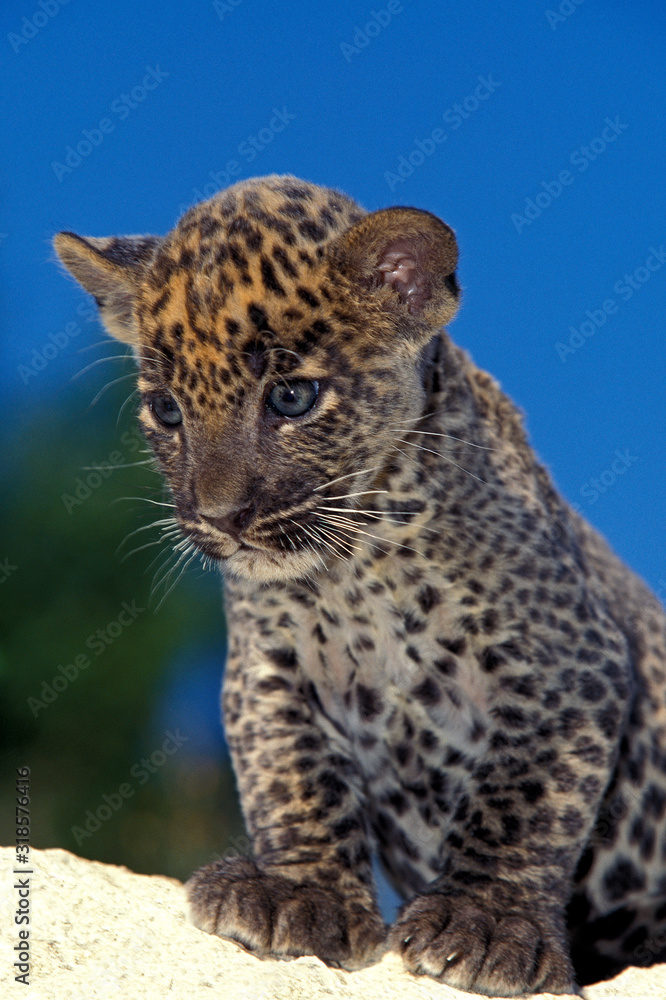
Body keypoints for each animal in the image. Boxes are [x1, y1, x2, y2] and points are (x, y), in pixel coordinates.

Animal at [54, 174, 666, 997]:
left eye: (291, 398)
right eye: (167, 410)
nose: (220, 517)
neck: (360, 563)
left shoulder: (568, 663)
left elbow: (524, 799)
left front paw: (485, 922)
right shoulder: (266, 672)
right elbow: (292, 777)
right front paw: (298, 891)